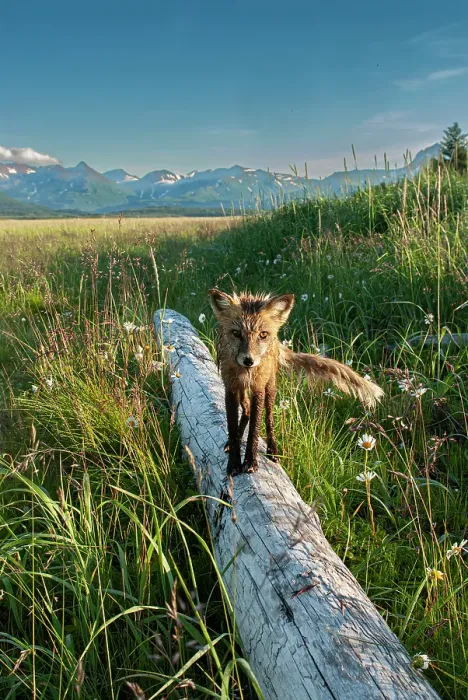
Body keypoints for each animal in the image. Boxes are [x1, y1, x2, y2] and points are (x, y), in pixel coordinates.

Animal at [208, 289, 384, 475]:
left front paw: (250, 461)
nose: (249, 360)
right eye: (236, 333)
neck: (246, 373)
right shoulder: (231, 388)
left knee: (268, 419)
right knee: (247, 411)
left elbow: (255, 430)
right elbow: (233, 429)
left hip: (270, 387)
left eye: (263, 334)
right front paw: (234, 462)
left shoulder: (258, 388)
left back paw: (273, 450)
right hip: (242, 391)